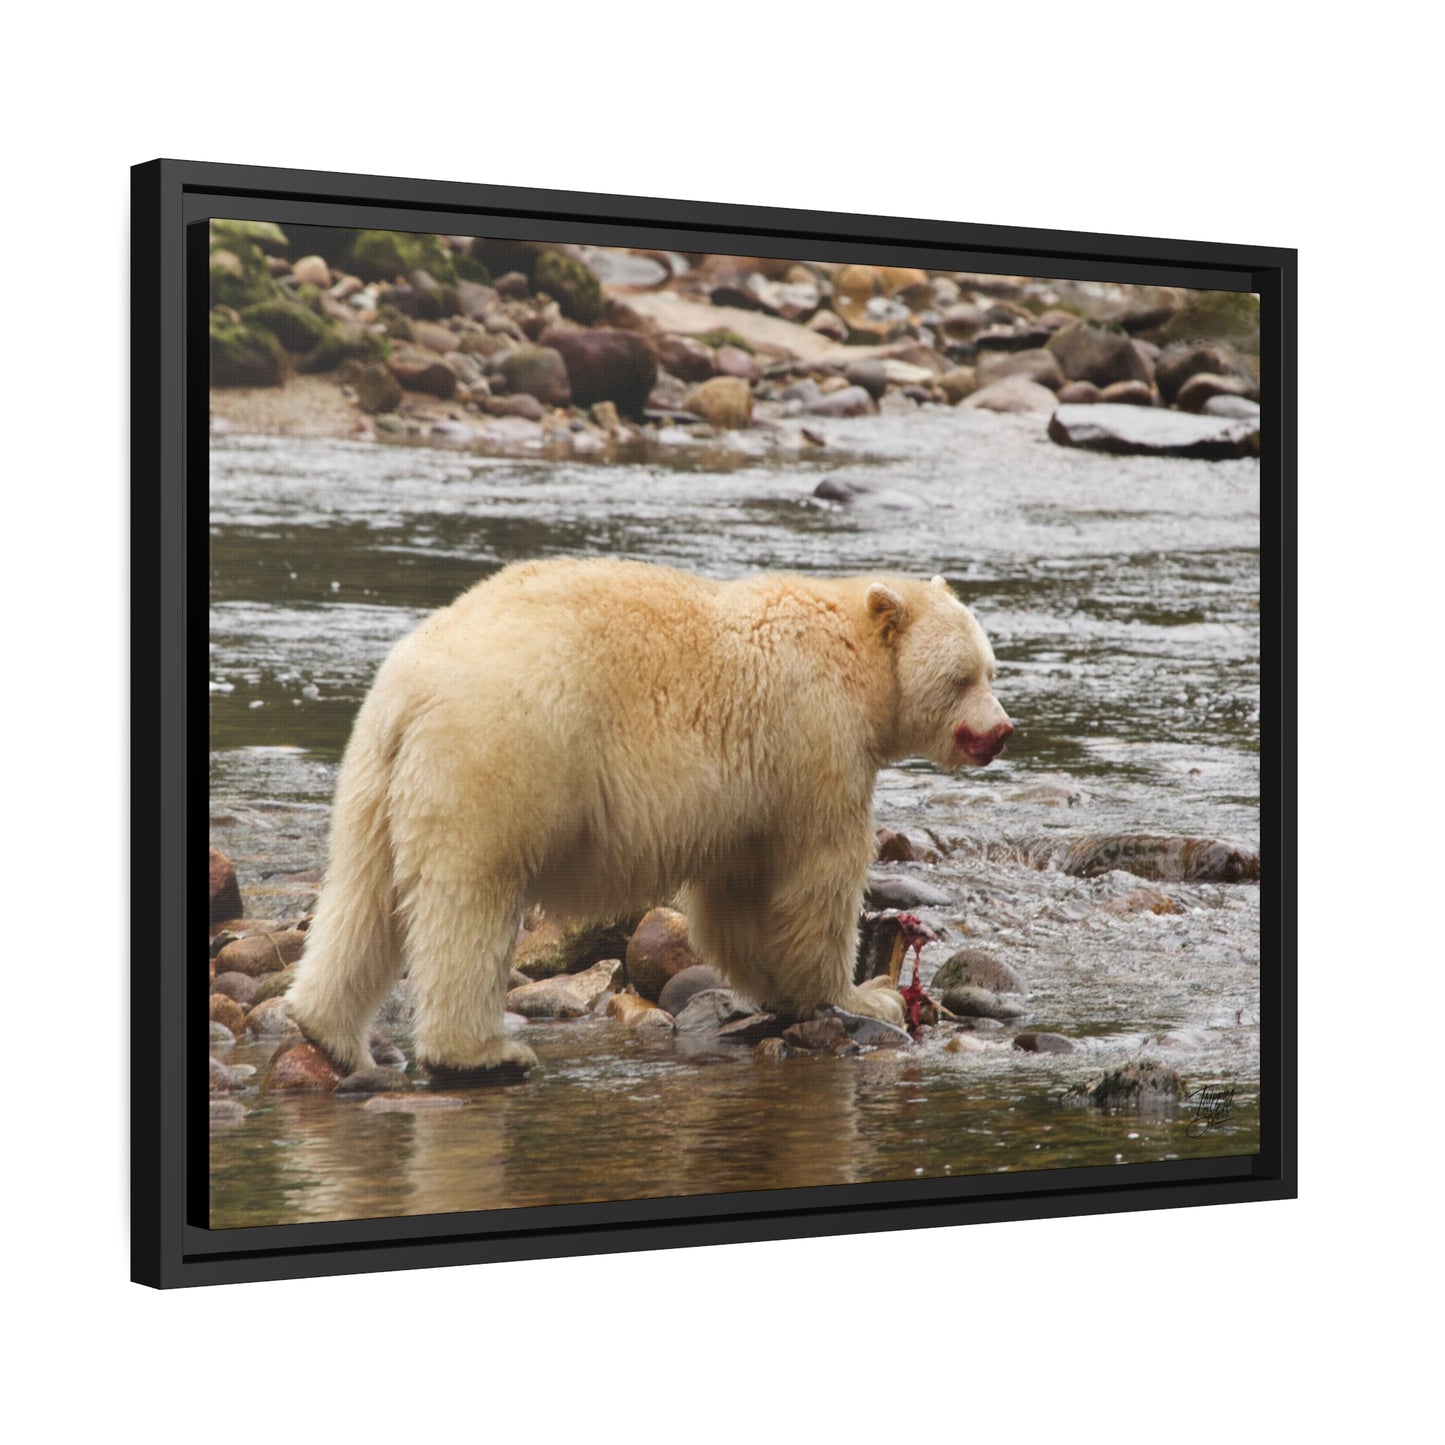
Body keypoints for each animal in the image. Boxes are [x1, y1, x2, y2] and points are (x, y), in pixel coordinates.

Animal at [284, 558, 1013, 1081]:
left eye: (991, 668)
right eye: (961, 677)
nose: (1001, 730)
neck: (853, 660)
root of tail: (413, 686)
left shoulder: (751, 789)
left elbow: (739, 892)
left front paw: (773, 985)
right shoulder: (812, 738)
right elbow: (816, 874)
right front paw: (864, 995)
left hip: (377, 772)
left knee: (364, 892)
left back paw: (330, 1032)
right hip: (499, 753)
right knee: (470, 896)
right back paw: (480, 1052)